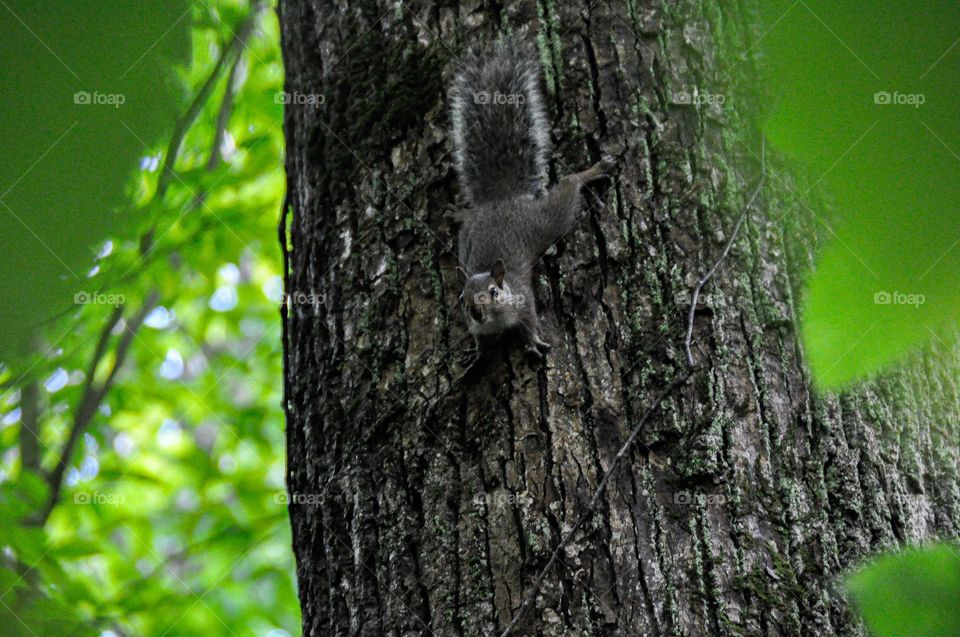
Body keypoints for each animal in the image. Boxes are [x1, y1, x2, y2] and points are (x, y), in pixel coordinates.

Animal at [449, 37, 613, 360]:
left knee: (570, 185)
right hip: (467, 237)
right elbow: (480, 340)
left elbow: (530, 321)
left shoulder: (524, 302)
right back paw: (460, 213)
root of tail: (501, 198)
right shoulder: (478, 328)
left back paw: (593, 171)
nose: (475, 312)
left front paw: (534, 341)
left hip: (547, 219)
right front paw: (476, 352)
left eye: (494, 292)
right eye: (461, 297)